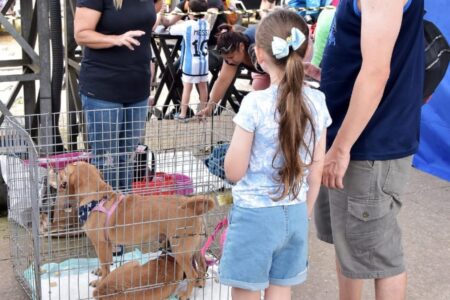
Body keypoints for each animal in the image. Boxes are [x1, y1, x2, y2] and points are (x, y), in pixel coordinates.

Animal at [52, 162, 214, 300]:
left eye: (65, 169)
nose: (55, 170)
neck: (96, 198)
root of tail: (192, 207)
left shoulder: (101, 244)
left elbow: (105, 266)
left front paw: (100, 281)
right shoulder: (107, 244)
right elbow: (107, 263)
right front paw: (100, 273)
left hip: (180, 250)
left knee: (192, 273)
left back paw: (186, 294)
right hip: (195, 248)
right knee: (202, 265)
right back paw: (201, 283)